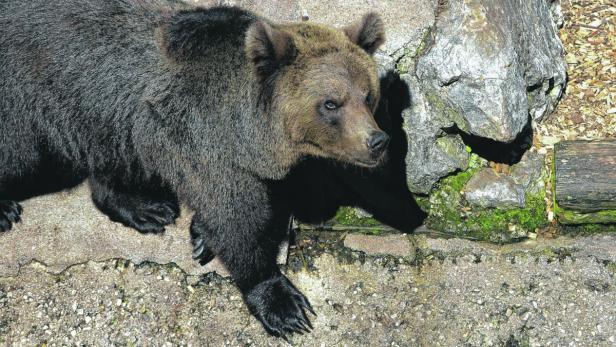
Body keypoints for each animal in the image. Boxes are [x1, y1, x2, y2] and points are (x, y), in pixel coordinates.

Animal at [1, 0, 390, 338]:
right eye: (331, 103)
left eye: (368, 95)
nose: (378, 141)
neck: (250, 131)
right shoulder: (203, 141)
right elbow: (238, 219)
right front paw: (282, 303)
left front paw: (199, 234)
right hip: (28, 103)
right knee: (21, 157)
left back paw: (148, 208)